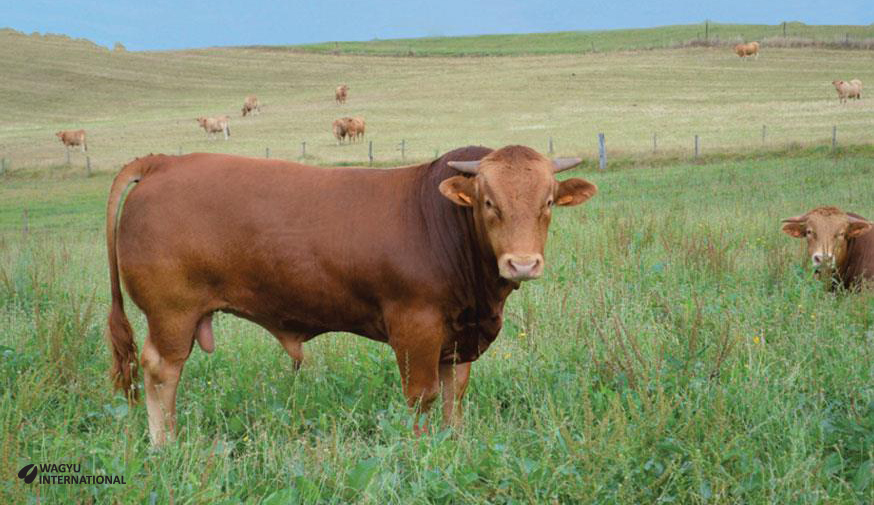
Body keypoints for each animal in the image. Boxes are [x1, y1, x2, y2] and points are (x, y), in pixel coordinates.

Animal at [100, 144, 592, 442]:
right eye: (490, 203)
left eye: (548, 202)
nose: (522, 263)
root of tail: (164, 161)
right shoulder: (415, 326)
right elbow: (423, 395)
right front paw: (422, 449)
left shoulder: (458, 335)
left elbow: (455, 394)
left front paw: (452, 441)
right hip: (172, 312)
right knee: (161, 371)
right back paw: (164, 442)